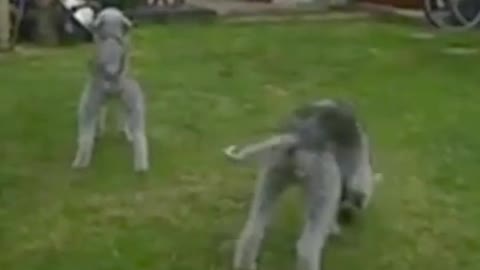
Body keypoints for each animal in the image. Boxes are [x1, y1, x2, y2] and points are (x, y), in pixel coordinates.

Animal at [71, 7, 148, 172]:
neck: (112, 37)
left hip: (88, 101)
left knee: (85, 136)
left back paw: (80, 161)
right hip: (134, 104)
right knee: (139, 136)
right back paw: (141, 165)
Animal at [224, 99, 382, 270]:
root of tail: (298, 137)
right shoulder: (352, 175)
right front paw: (334, 228)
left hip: (273, 176)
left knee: (253, 231)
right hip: (325, 182)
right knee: (307, 248)